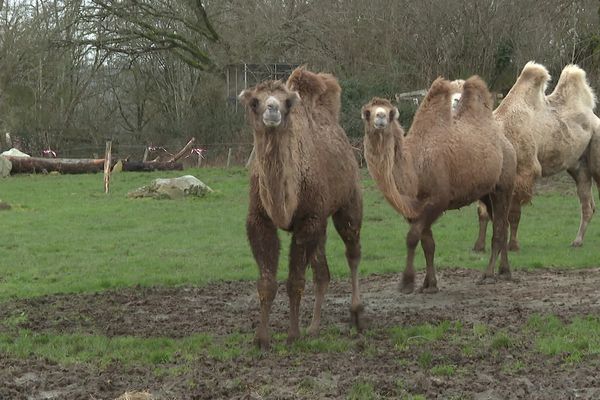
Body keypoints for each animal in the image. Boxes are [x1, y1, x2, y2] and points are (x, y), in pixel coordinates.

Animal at [238, 67, 360, 348]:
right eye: (254, 102)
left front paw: (293, 335)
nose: (272, 109)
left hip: (348, 202)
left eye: (286, 102)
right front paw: (261, 339)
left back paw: (356, 316)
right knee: (322, 272)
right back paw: (313, 328)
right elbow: (267, 282)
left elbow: (295, 281)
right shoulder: (259, 220)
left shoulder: (308, 219)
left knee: (352, 251)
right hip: (322, 223)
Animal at [360, 76, 516, 292]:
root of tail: (507, 145)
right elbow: (428, 244)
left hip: (504, 186)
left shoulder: (437, 200)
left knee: (500, 229)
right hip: (486, 193)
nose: (381, 117)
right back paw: (505, 271)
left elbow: (412, 238)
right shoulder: (414, 209)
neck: (414, 169)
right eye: (368, 113)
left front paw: (406, 282)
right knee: (502, 224)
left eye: (390, 113)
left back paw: (488, 274)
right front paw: (429, 284)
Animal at [474, 62, 600, 250]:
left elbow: (513, 213)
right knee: (587, 204)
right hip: (579, 166)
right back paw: (577, 241)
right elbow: (483, 212)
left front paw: (513, 245)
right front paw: (479, 246)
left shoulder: (524, 171)